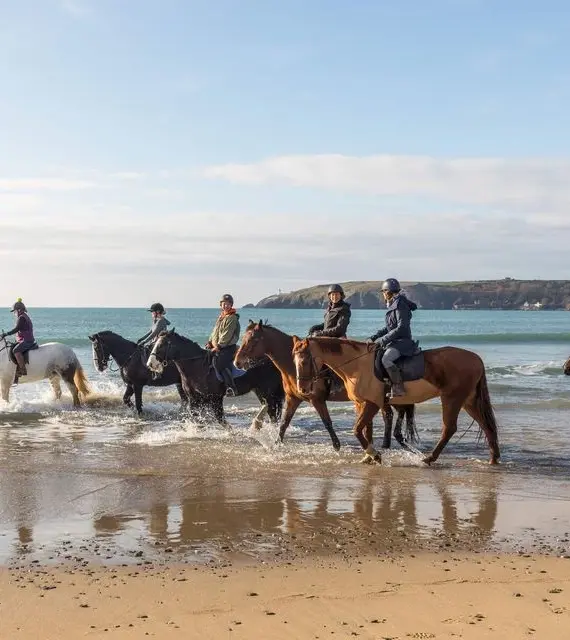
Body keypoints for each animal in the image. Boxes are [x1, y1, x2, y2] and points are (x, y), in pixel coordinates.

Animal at [146, 330, 285, 429]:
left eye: (162, 344)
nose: (150, 364)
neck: (198, 367)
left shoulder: (215, 398)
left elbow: (220, 419)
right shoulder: (194, 398)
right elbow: (195, 417)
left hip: (267, 392)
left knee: (272, 413)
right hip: (259, 391)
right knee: (268, 409)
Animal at [233, 320, 418, 452]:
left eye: (253, 339)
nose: (237, 362)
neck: (294, 365)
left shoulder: (317, 399)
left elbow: (327, 421)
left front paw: (336, 445)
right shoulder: (293, 398)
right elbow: (284, 423)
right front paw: (277, 444)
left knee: (392, 414)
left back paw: (388, 442)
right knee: (390, 414)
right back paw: (388, 442)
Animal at [292, 336, 500, 466]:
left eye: (304, 362)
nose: (303, 390)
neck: (357, 365)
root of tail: (476, 359)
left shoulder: (373, 403)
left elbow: (357, 429)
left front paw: (375, 455)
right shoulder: (361, 403)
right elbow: (365, 430)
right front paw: (368, 456)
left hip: (452, 398)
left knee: (449, 428)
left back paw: (429, 458)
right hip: (469, 400)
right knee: (487, 425)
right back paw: (493, 458)